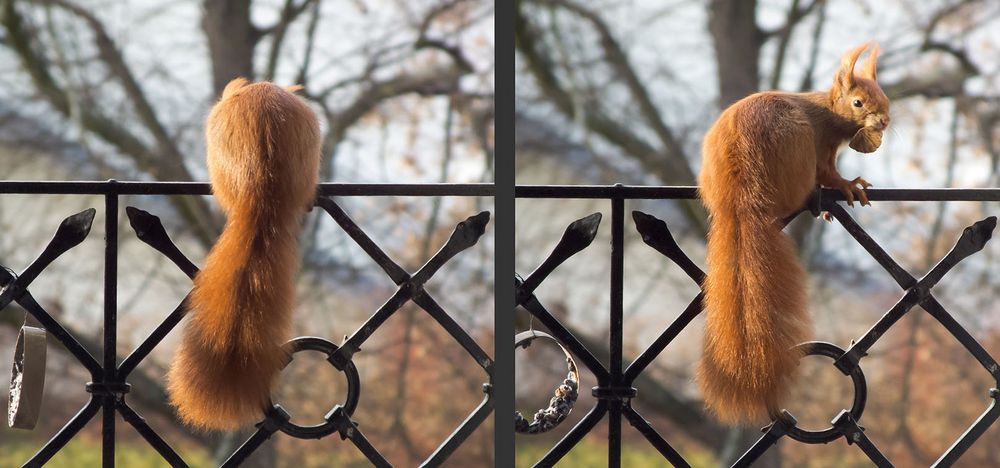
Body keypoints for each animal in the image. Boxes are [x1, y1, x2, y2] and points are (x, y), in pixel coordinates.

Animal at [696, 44, 892, 424]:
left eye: (885, 98)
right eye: (858, 102)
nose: (885, 121)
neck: (829, 112)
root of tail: (738, 195)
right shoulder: (823, 145)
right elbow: (830, 174)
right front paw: (849, 186)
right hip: (799, 147)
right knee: (807, 184)